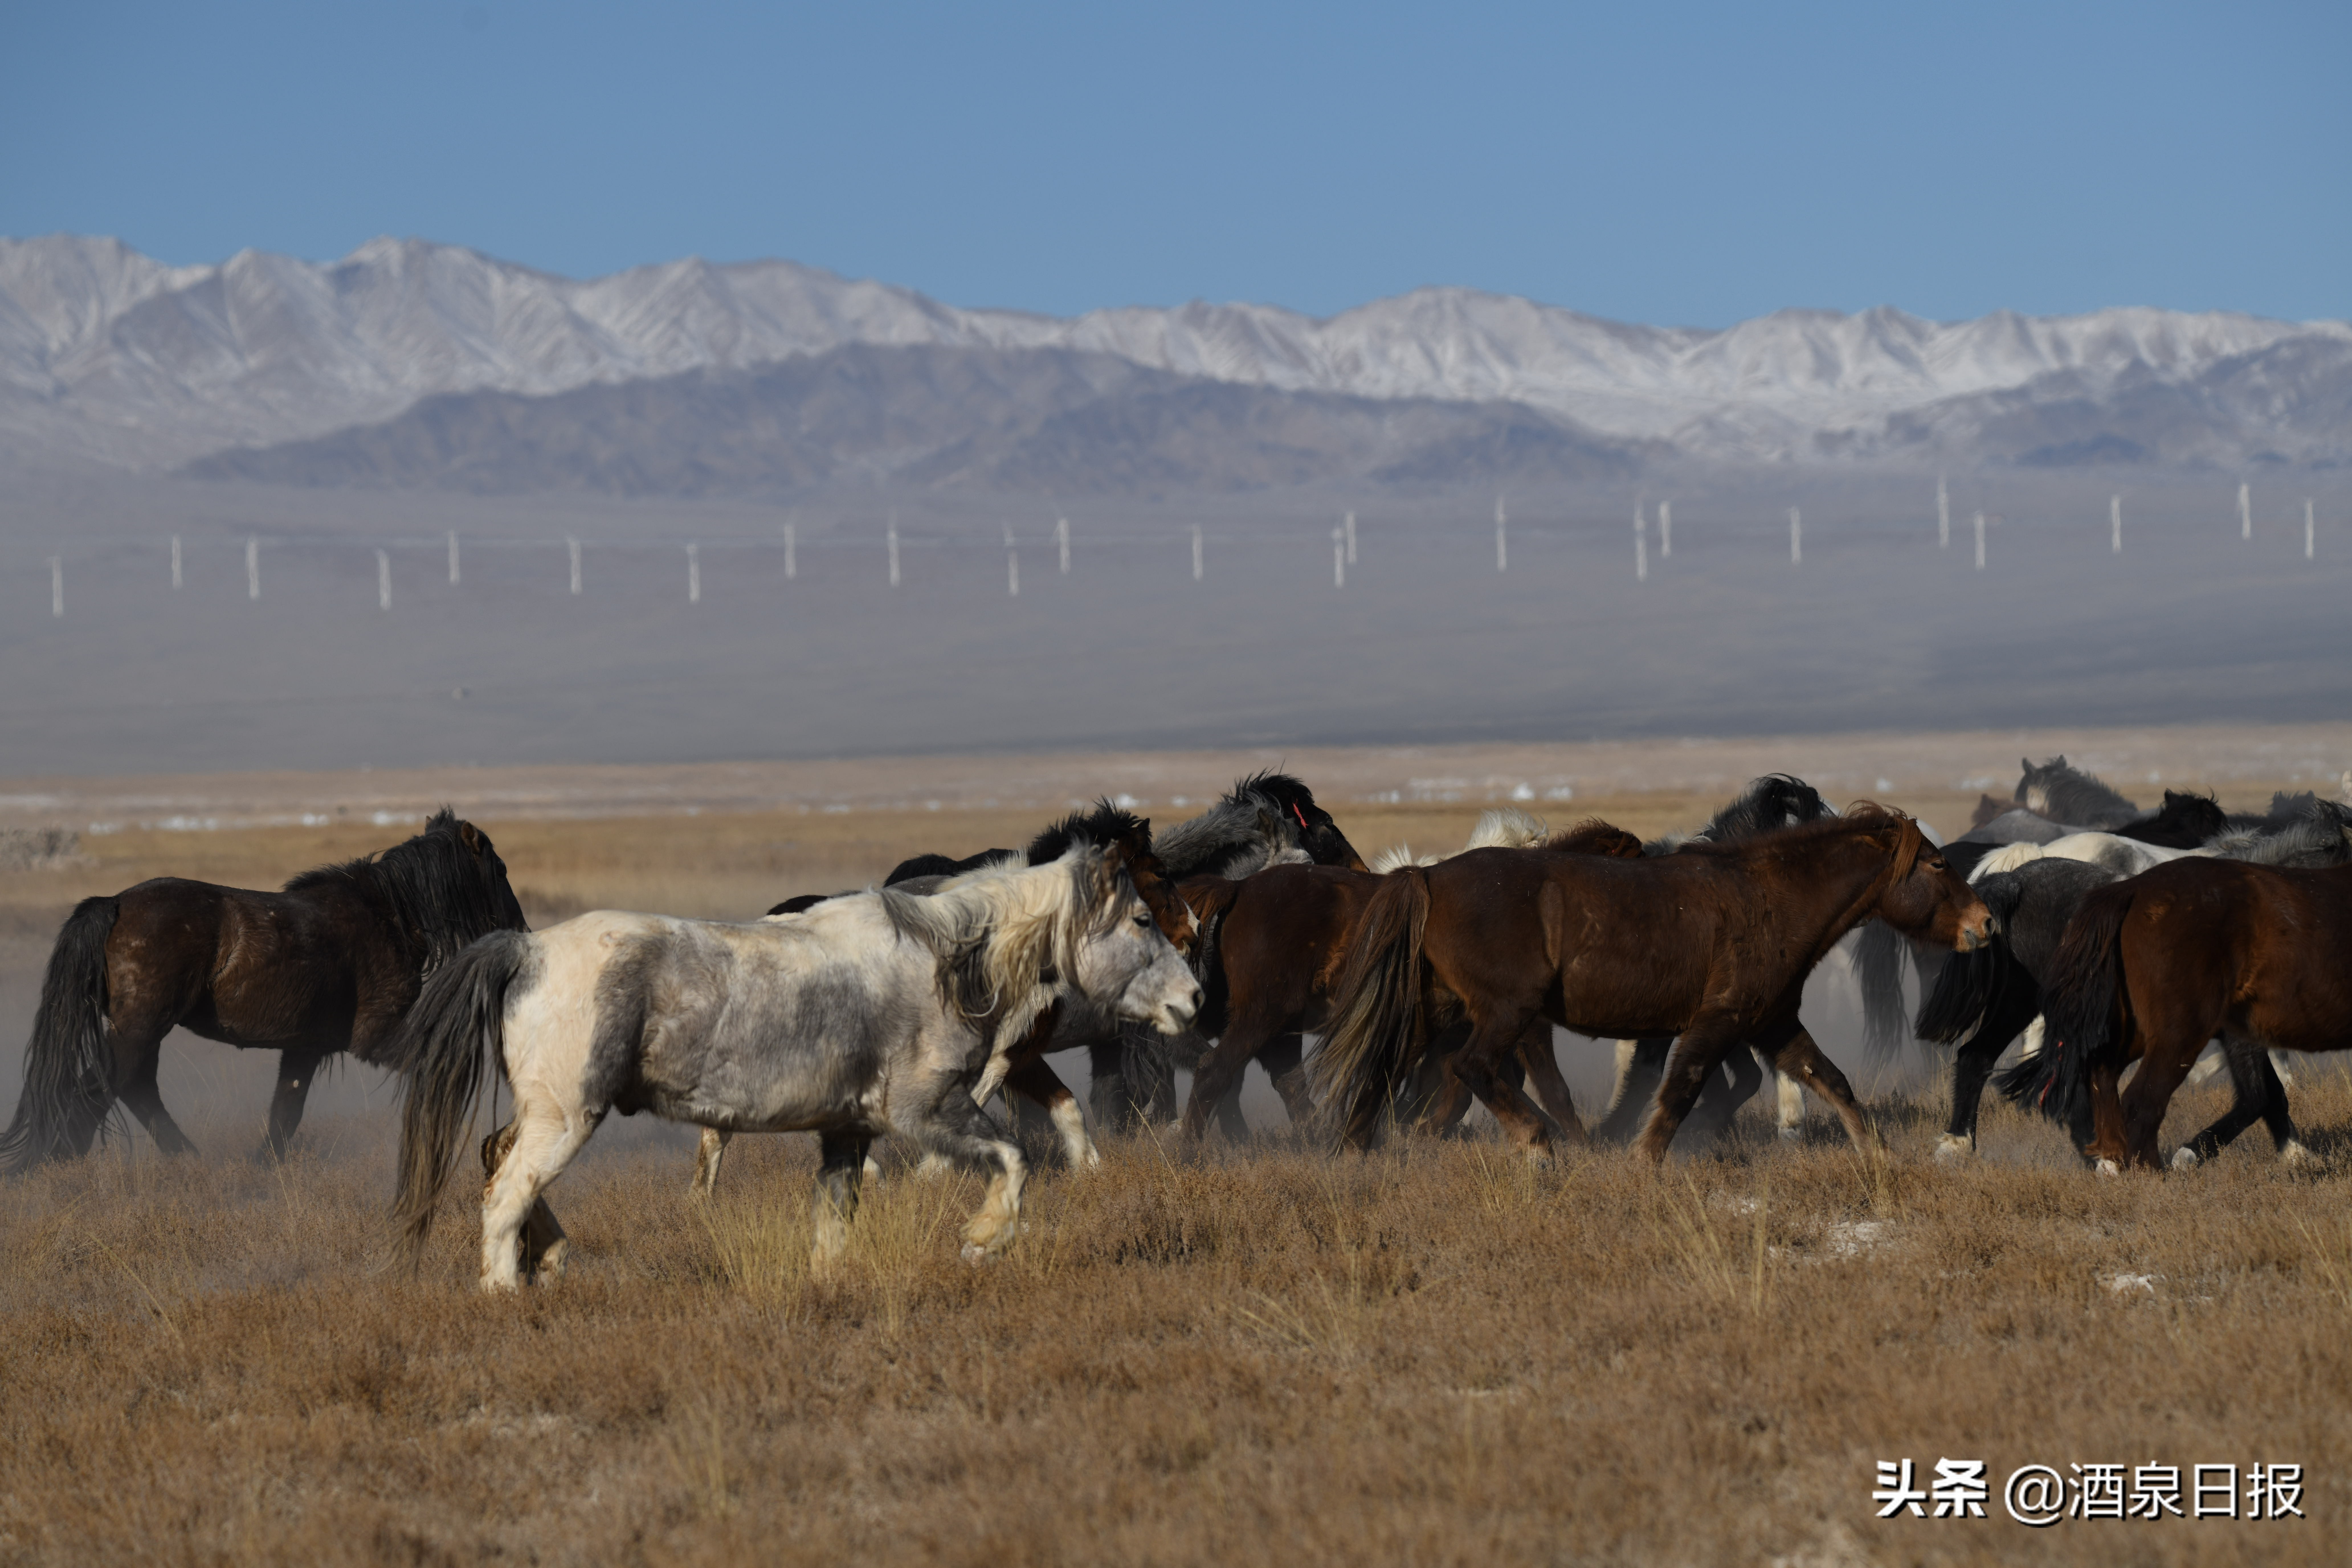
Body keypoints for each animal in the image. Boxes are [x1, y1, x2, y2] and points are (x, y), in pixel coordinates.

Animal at [1, 810, 526, 1173]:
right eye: (500, 869)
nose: (522, 931)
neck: (392, 914)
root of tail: (113, 903)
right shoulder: (379, 1037)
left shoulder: (307, 1048)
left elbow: (284, 1115)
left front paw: (261, 1173)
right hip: (141, 1026)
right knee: (105, 1086)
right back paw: (60, 1161)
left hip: (143, 1030)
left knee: (132, 1087)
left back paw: (185, 1159)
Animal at [385, 825, 1202, 1288]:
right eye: (1141, 916)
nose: (1193, 998)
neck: (942, 960)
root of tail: (526, 951)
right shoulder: (928, 1111)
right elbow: (1014, 1158)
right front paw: (983, 1240)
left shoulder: (848, 1131)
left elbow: (834, 1226)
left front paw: (830, 1285)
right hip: (565, 1118)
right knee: (503, 1194)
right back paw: (503, 1290)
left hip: (549, 1115)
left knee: (498, 1158)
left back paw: (551, 1259)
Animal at [1312, 806, 1994, 1162]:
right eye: (1938, 864)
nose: (1986, 923)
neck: (1770, 898)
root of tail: (1425, 876)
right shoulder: (1718, 1021)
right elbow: (1679, 1093)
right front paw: (1642, 1159)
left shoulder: (1771, 1022)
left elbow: (1833, 1081)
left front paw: (1878, 1156)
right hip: (1506, 1012)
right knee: (1472, 1067)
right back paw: (1538, 1143)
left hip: (1437, 1007)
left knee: (1384, 1068)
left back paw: (1357, 1151)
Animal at [1931, 805, 2352, 1167]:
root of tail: (2016, 880)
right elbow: (2258, 1095)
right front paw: (2189, 1155)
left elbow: (2270, 1093)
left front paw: (2296, 1155)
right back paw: (2105, 1161)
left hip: (2020, 998)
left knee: (1977, 1056)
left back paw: (1958, 1145)